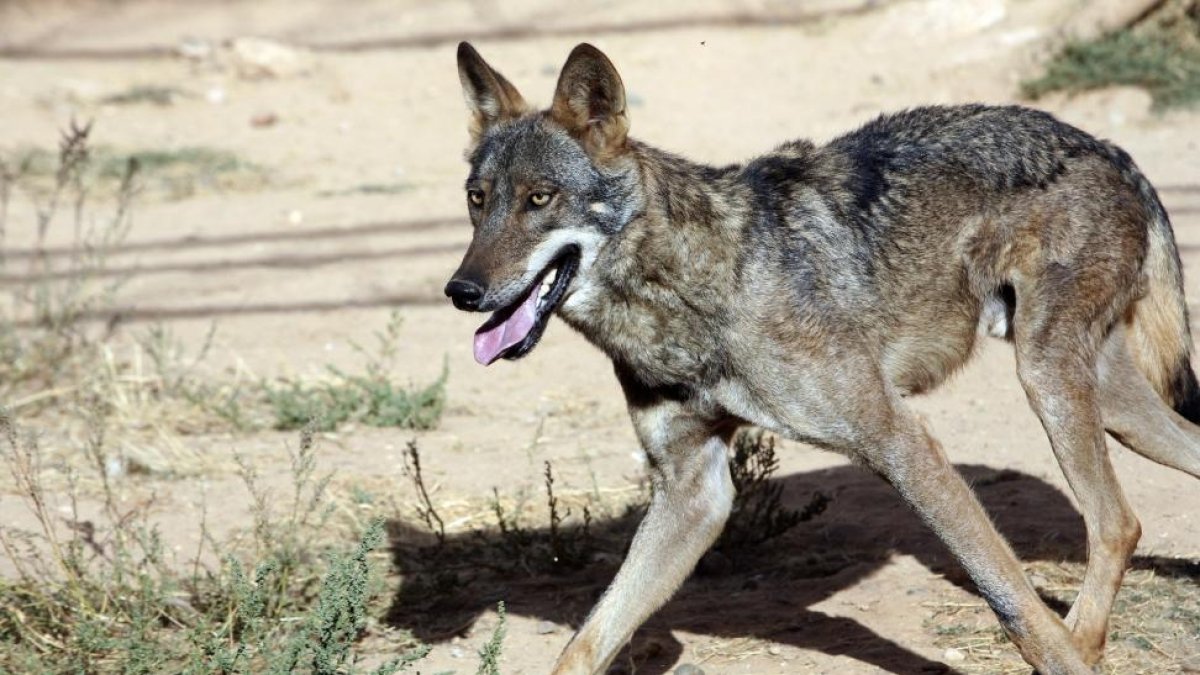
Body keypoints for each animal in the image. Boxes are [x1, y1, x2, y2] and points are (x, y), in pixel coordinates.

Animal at [443, 41, 1200, 674]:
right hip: (1106, 403)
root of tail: (1107, 146)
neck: (697, 287)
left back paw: (1088, 639)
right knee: (1136, 507)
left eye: (540, 199)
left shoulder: (900, 441)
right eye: (477, 202)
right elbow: (586, 642)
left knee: (1113, 522)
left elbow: (1012, 601)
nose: (461, 291)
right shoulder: (694, 491)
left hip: (1048, 381)